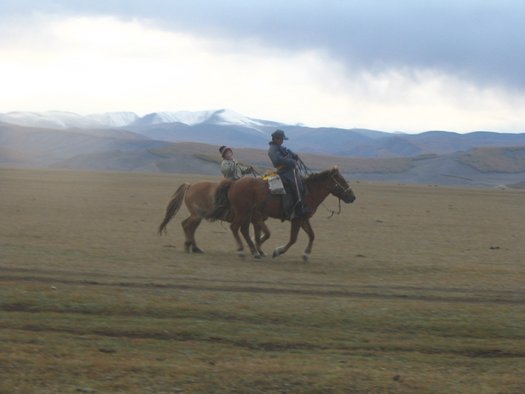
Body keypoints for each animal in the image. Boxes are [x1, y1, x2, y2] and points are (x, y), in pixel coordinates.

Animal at [209, 165, 356, 260]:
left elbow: (312, 235)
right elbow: (293, 239)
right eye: (342, 180)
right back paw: (243, 250)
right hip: (242, 212)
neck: (308, 192)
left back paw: (254, 251)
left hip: (246, 214)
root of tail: (233, 184)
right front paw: (278, 251)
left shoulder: (303, 219)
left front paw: (306, 254)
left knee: (242, 230)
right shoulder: (296, 219)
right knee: (235, 227)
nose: (353, 197)